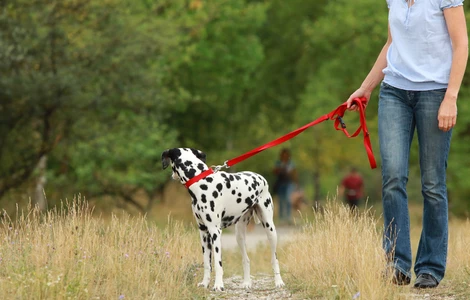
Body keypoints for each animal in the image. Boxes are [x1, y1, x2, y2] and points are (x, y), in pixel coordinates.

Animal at [162, 149, 286, 292]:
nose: (171, 176)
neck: (201, 180)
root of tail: (260, 177)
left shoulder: (215, 232)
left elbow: (217, 263)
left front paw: (218, 285)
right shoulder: (204, 233)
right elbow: (207, 263)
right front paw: (204, 283)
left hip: (270, 229)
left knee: (274, 258)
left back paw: (279, 282)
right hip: (239, 235)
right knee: (246, 259)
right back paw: (247, 283)